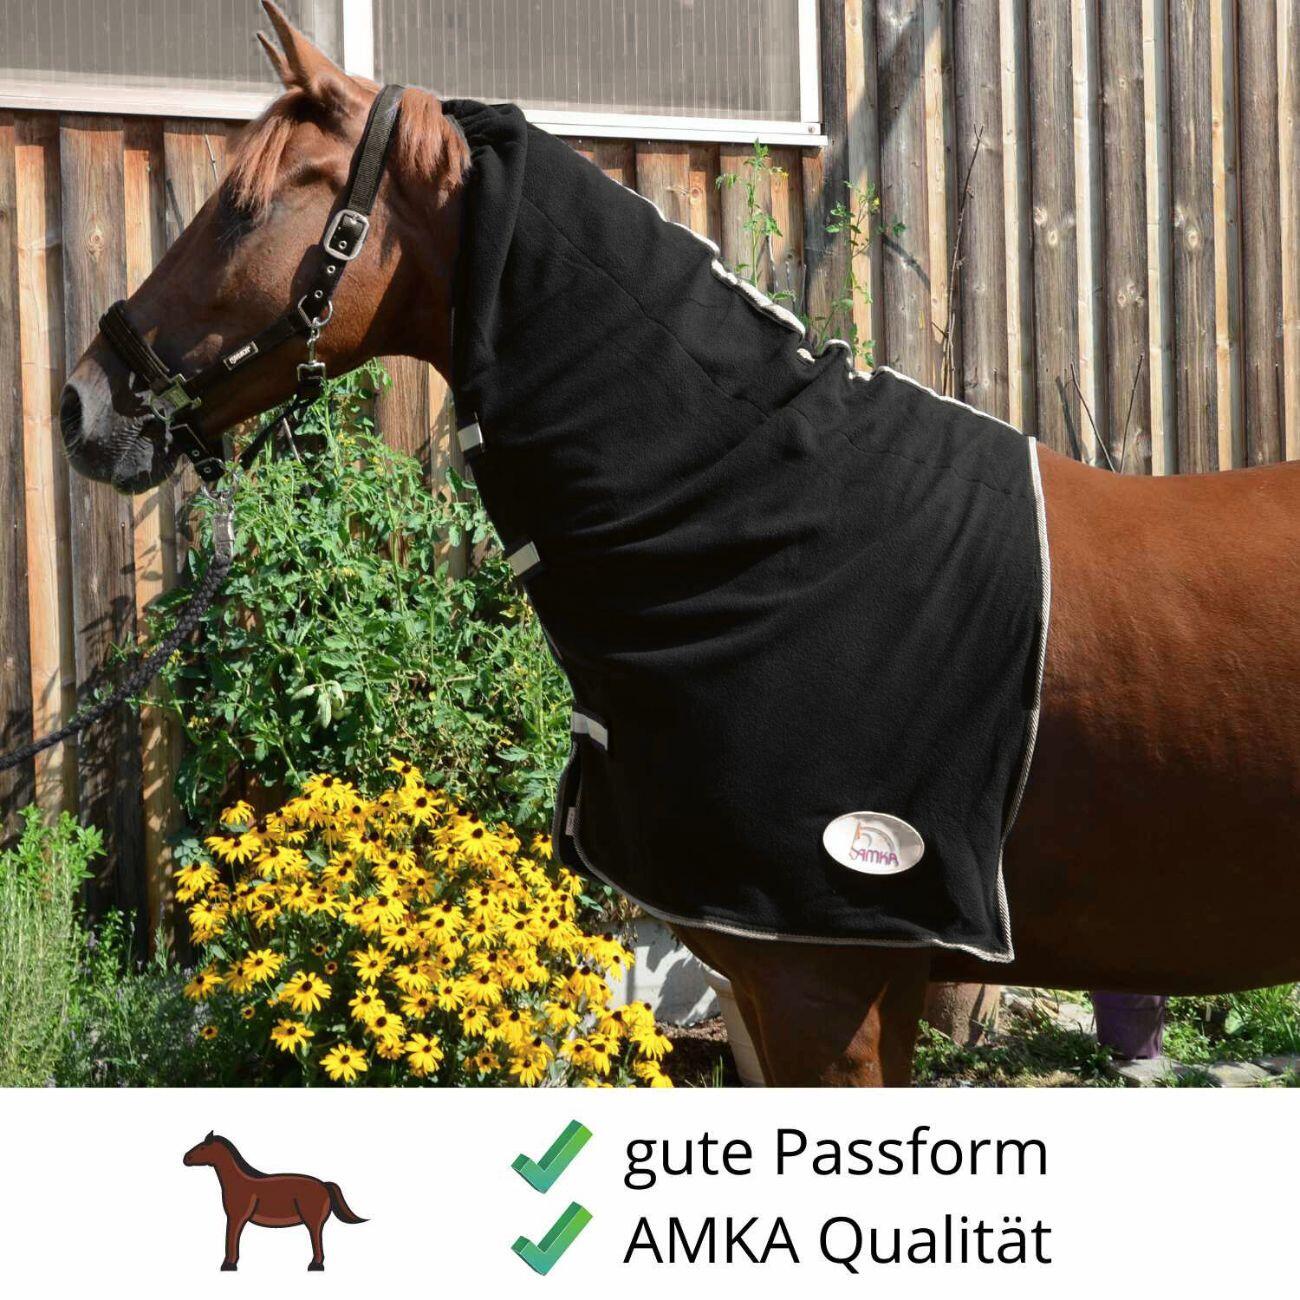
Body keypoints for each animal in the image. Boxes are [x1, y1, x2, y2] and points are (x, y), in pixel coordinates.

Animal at [182, 1131, 366, 1270]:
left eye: (203, 1146)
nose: (185, 1158)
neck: (238, 1181)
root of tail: (324, 1184)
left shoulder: (236, 1217)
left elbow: (231, 1238)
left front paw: (228, 1265)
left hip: (313, 1220)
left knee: (316, 1239)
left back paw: (315, 1265)